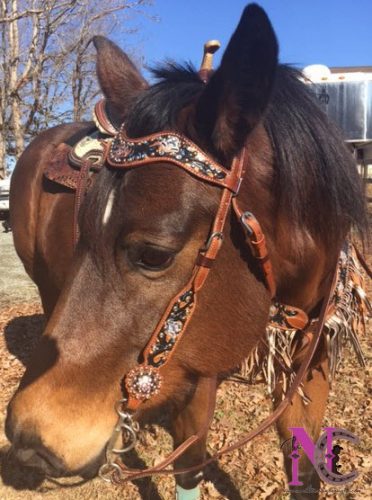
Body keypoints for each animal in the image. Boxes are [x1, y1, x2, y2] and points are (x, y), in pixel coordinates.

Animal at [5, 2, 366, 496]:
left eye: (154, 255)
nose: (27, 439)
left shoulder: (311, 361)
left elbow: (304, 470)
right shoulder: (195, 372)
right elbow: (189, 469)